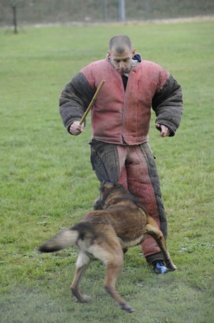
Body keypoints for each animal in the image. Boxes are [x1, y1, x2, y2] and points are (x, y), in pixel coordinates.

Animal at [39, 182, 176, 314]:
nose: (94, 203)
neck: (119, 196)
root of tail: (84, 226)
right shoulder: (157, 233)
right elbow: (165, 252)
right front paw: (171, 266)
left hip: (85, 260)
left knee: (73, 286)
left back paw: (82, 299)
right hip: (116, 258)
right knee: (107, 285)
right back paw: (124, 305)